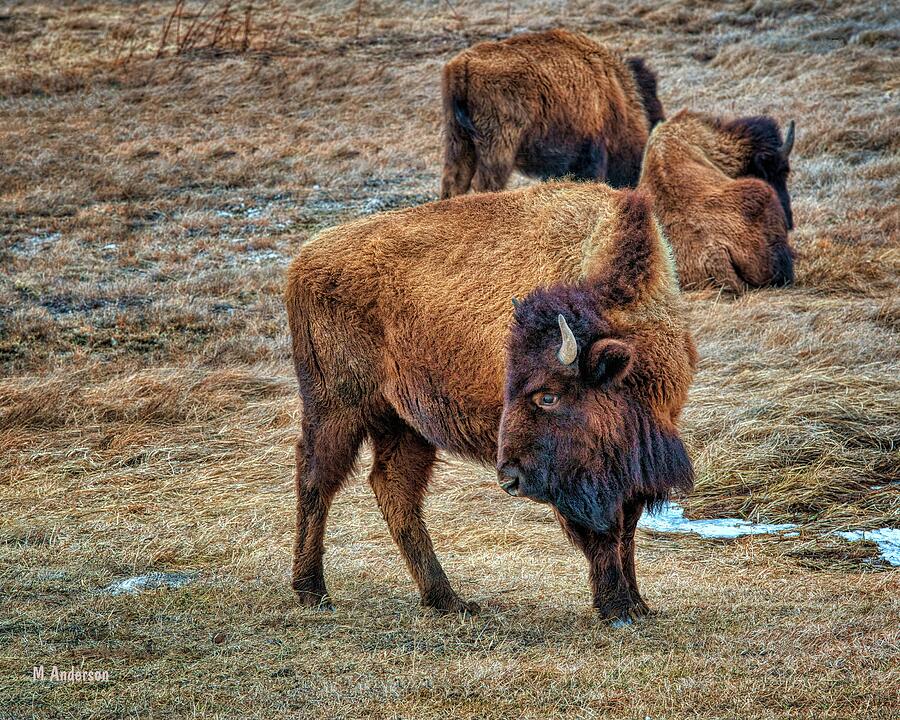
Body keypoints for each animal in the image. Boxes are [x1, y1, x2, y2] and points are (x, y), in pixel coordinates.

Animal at [286, 183, 696, 620]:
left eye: (547, 395)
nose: (509, 479)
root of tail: (302, 261)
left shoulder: (632, 464)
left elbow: (627, 527)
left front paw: (638, 605)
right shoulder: (576, 476)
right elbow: (603, 532)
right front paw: (616, 608)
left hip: (405, 425)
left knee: (393, 488)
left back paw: (446, 599)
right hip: (336, 409)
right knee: (316, 479)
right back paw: (313, 592)